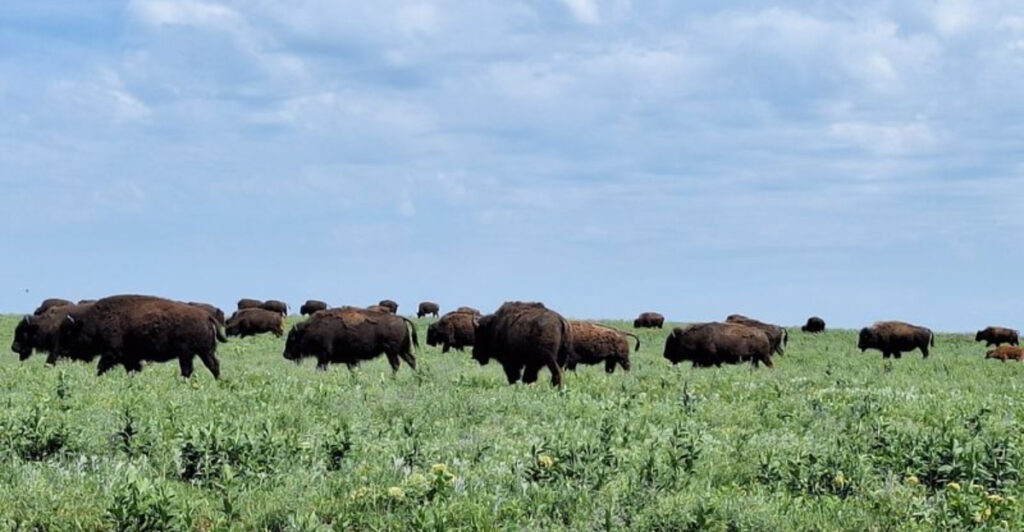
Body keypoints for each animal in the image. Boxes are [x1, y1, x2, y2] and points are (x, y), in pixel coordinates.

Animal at [55, 295, 225, 378]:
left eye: (69, 333)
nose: (61, 352)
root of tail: (206, 316)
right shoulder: (129, 359)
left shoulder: (112, 354)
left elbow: (101, 367)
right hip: (204, 352)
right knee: (213, 366)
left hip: (188, 354)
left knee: (189, 370)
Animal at [282, 306, 418, 372]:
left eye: (293, 338)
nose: (285, 355)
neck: (312, 328)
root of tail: (400, 318)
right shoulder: (351, 359)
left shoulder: (323, 355)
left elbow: (320, 368)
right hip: (402, 350)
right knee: (411, 360)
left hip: (391, 351)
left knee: (396, 364)